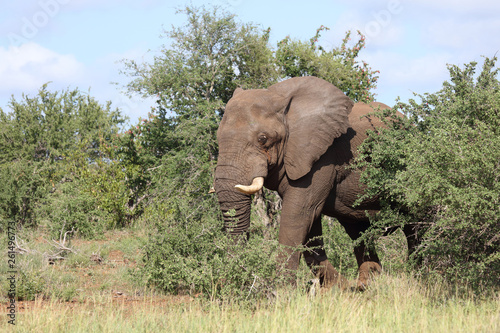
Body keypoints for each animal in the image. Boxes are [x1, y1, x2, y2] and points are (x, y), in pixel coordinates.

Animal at [213, 75, 400, 288]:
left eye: (263, 139)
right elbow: (310, 225)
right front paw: (338, 288)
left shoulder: (323, 156)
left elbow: (298, 215)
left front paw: (282, 291)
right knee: (357, 231)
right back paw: (367, 284)